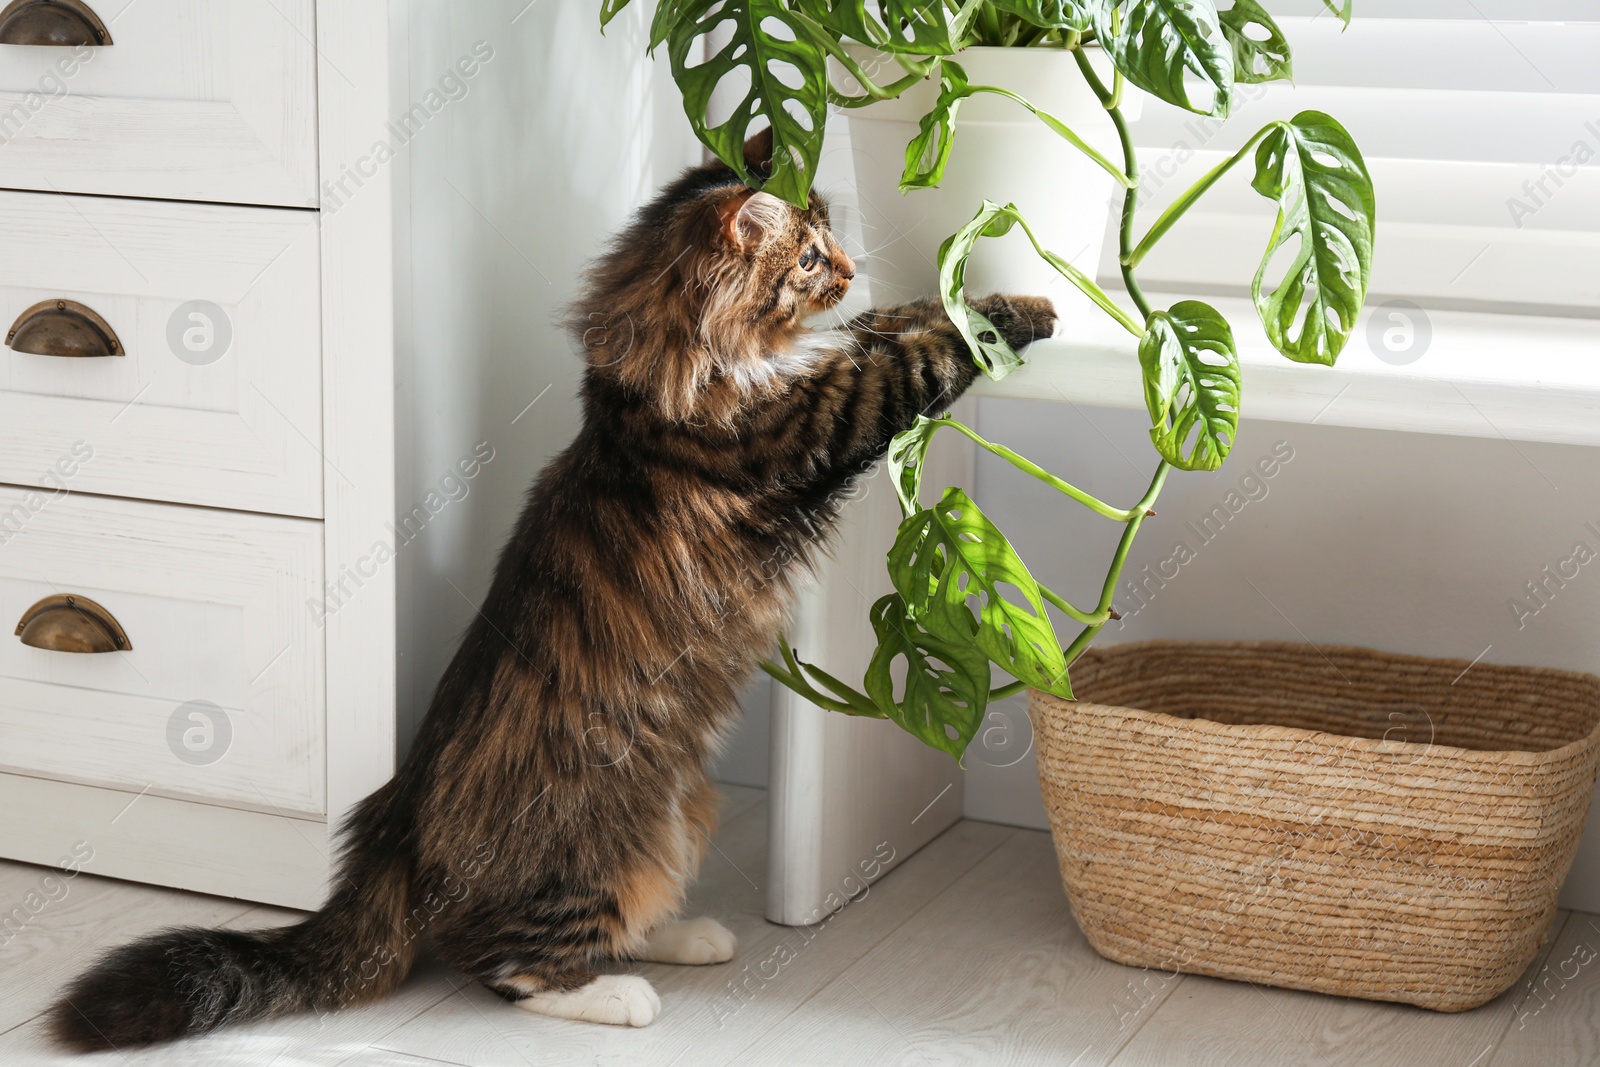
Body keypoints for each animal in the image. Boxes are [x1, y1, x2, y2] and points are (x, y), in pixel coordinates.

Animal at [50, 131, 1056, 1049]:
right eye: (809, 256)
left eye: (833, 237)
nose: (851, 264)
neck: (656, 372)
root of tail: (392, 829)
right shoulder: (828, 415)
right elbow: (930, 349)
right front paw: (1029, 304)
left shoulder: (836, 360)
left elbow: (909, 317)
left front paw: (987, 288)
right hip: (609, 841)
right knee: (506, 961)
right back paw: (619, 994)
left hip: (684, 810)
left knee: (609, 921)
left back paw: (687, 936)